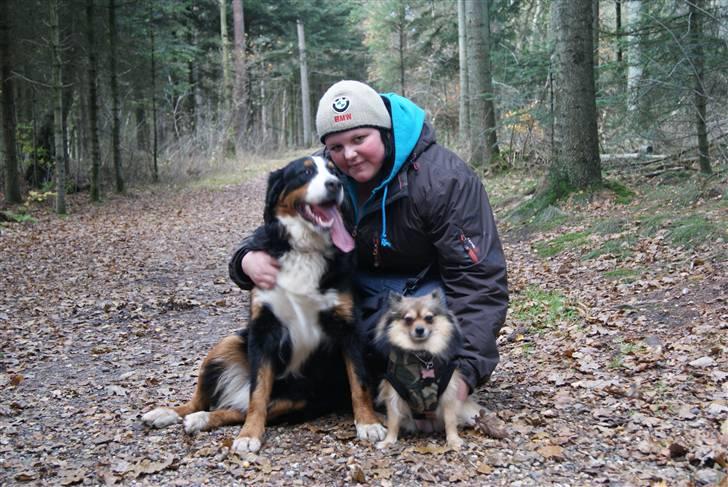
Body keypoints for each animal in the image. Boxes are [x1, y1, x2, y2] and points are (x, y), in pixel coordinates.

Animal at [141, 158, 386, 456]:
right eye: (305, 172)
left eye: (334, 170)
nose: (335, 184)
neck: (303, 250)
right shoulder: (263, 329)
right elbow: (257, 394)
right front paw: (249, 435)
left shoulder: (348, 327)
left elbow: (359, 381)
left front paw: (368, 422)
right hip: (226, 343)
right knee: (208, 400)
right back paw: (170, 413)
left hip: (299, 396)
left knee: (237, 408)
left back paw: (201, 419)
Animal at [376, 290, 484, 450]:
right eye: (408, 319)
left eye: (429, 318)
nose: (419, 329)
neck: (421, 356)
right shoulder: (393, 394)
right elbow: (393, 421)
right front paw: (389, 440)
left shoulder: (448, 394)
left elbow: (450, 421)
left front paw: (453, 440)